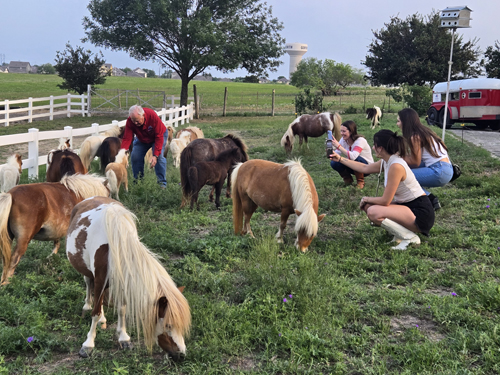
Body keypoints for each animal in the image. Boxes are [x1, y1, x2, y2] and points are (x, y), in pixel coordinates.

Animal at [66, 195, 191, 360]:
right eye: (168, 325)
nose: (181, 354)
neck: (117, 247)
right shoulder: (100, 279)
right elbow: (95, 312)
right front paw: (88, 345)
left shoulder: (123, 281)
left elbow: (122, 310)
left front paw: (124, 338)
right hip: (86, 270)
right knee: (88, 284)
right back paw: (87, 306)